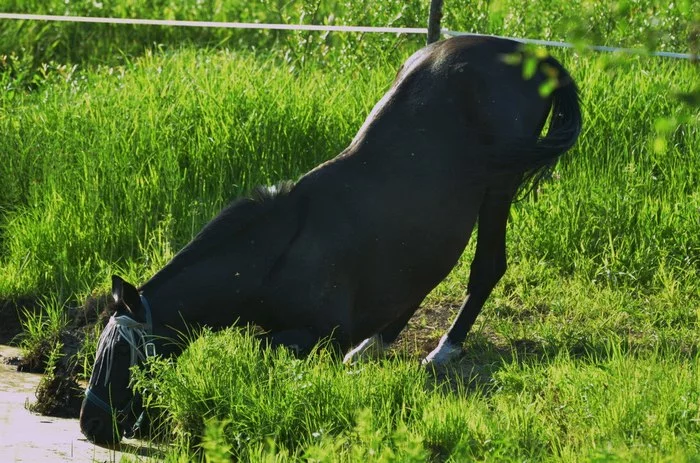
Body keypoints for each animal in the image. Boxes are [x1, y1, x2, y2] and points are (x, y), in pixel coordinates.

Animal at [79, 35, 584, 442]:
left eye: (121, 354)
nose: (90, 424)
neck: (276, 255)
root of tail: (527, 52)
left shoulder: (319, 332)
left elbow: (265, 347)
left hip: (500, 186)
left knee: (487, 266)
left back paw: (444, 349)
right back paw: (376, 343)